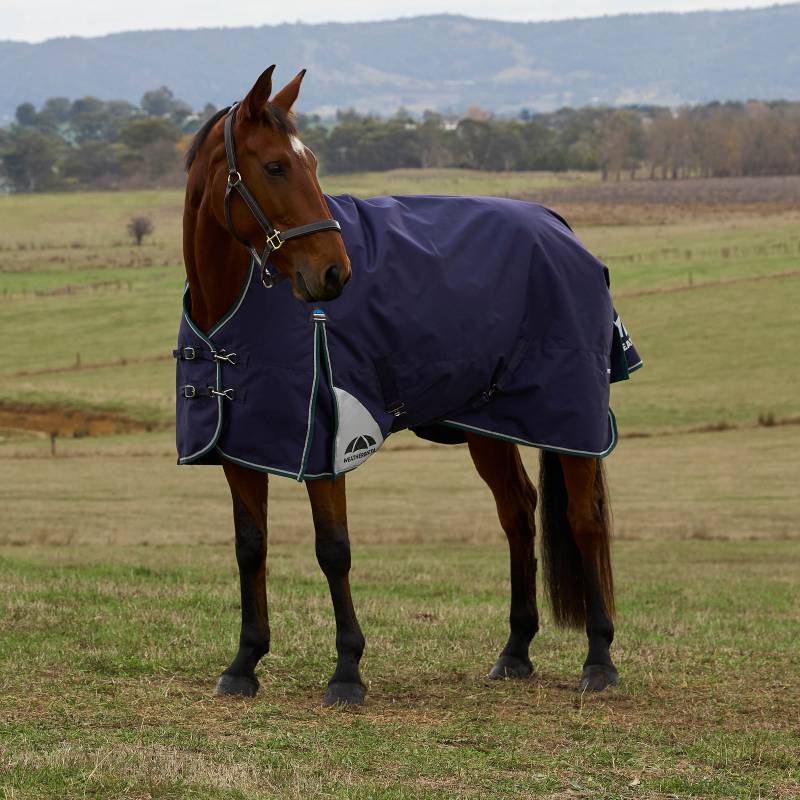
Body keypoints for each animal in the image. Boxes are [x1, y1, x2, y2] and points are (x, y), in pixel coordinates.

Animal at [181, 65, 620, 706]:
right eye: (276, 166)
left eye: (312, 162)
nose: (334, 273)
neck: (233, 309)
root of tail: (558, 226)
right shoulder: (242, 446)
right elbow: (250, 547)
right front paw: (244, 663)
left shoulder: (327, 444)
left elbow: (333, 549)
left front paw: (346, 671)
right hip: (490, 424)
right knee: (518, 513)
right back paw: (515, 650)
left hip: (569, 418)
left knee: (584, 519)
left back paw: (599, 659)